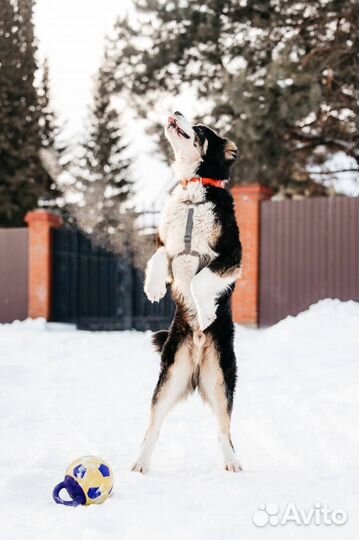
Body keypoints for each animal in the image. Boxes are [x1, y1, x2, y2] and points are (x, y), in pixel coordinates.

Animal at [131, 110, 243, 472]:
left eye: (201, 130)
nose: (176, 111)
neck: (195, 192)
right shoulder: (168, 247)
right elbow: (158, 257)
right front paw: (153, 288)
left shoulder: (231, 256)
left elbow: (199, 280)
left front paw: (206, 311)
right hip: (169, 377)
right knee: (153, 427)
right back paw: (139, 464)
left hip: (221, 378)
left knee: (224, 431)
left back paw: (232, 462)